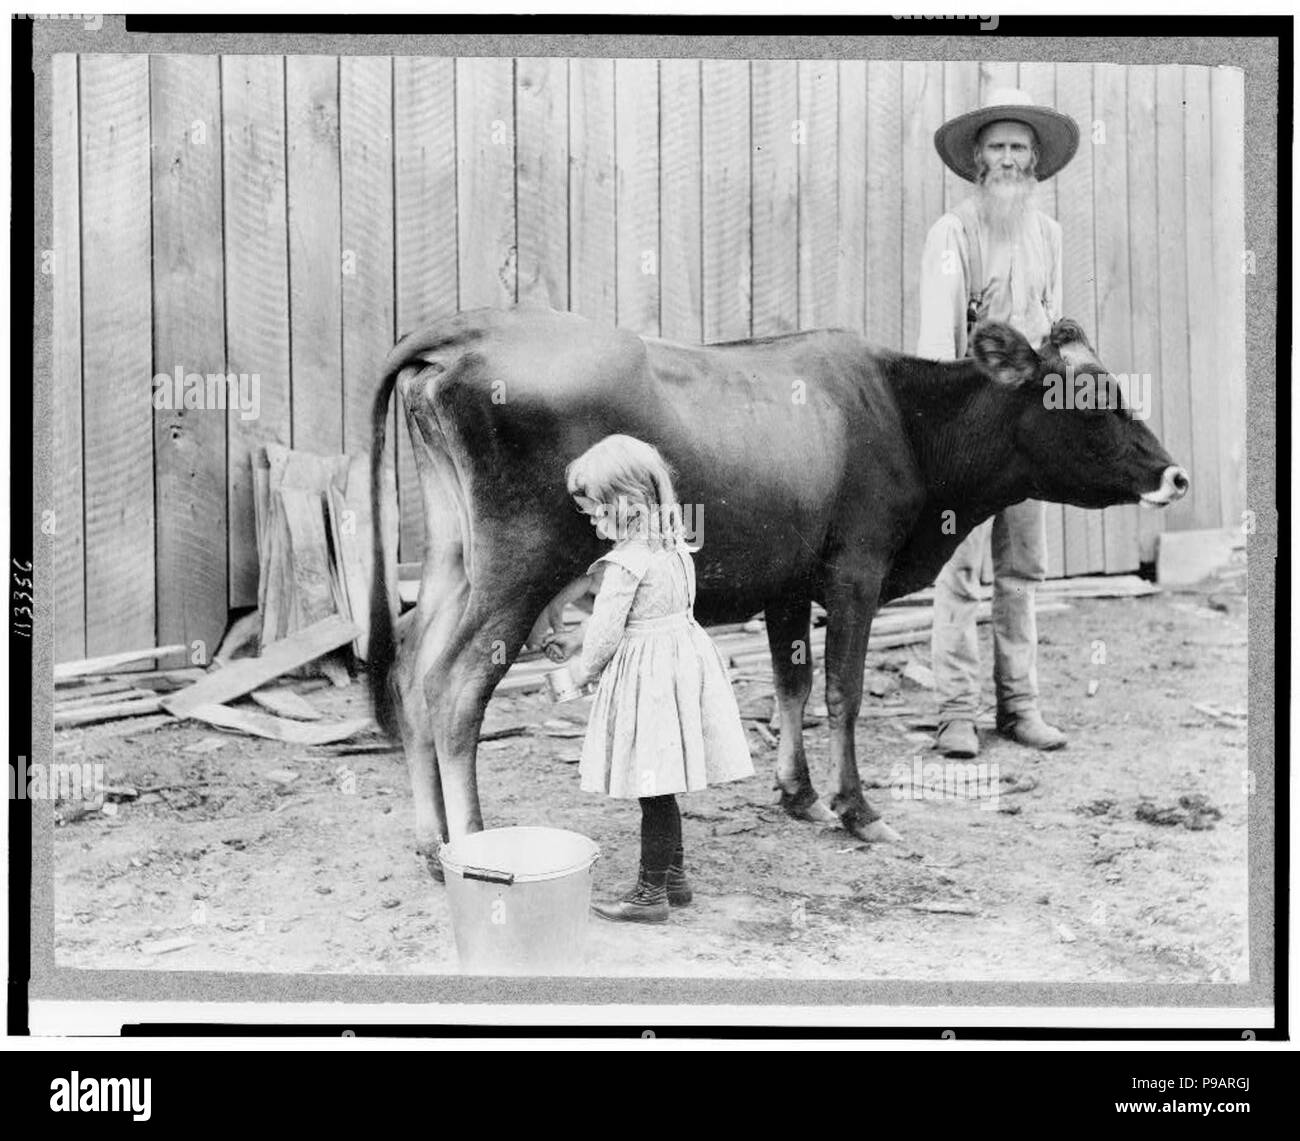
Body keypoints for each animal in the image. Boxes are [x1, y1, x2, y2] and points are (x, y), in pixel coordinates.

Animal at [366, 304, 1190, 873]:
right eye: (1090, 399)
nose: (1175, 475)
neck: (903, 417)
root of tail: (466, 328)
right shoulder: (856, 572)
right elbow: (842, 691)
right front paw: (857, 809)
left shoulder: (788, 585)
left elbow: (792, 683)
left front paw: (799, 794)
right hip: (522, 564)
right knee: (455, 686)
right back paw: (473, 844)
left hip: (453, 559)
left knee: (412, 670)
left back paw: (429, 841)